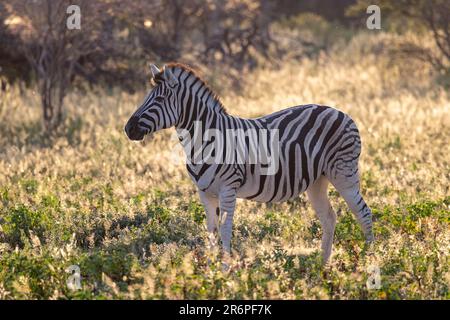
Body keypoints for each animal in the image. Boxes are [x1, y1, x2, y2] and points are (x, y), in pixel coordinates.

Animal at [125, 63, 374, 264]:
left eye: (159, 99)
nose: (128, 129)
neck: (205, 139)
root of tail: (341, 112)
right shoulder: (205, 192)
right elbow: (211, 231)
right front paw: (209, 271)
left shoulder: (228, 188)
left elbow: (225, 230)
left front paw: (225, 270)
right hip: (317, 180)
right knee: (329, 217)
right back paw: (323, 265)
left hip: (343, 172)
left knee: (363, 212)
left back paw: (367, 263)